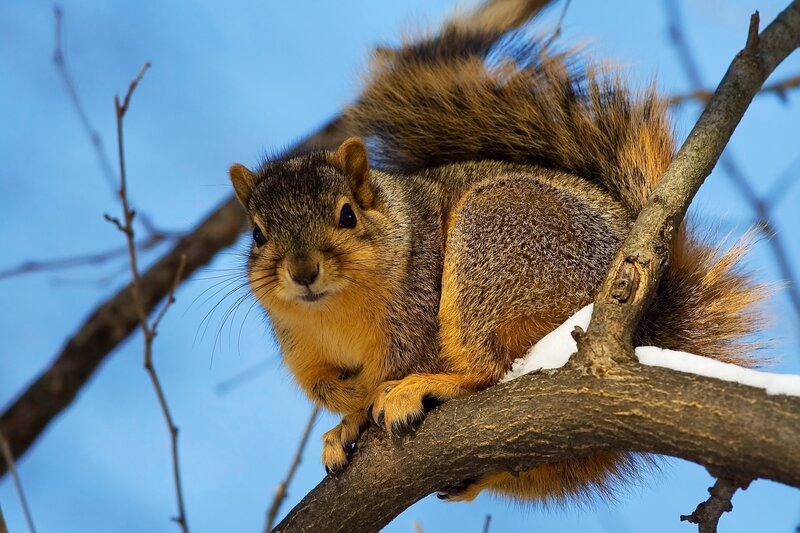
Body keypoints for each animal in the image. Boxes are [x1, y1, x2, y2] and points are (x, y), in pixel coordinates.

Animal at [227, 6, 764, 504]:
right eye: (257, 234)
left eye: (347, 215)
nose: (303, 272)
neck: (333, 315)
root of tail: (648, 319)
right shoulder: (304, 352)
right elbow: (325, 386)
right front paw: (345, 417)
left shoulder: (416, 308)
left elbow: (396, 366)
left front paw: (363, 408)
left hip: (495, 241)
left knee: (487, 371)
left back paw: (427, 388)